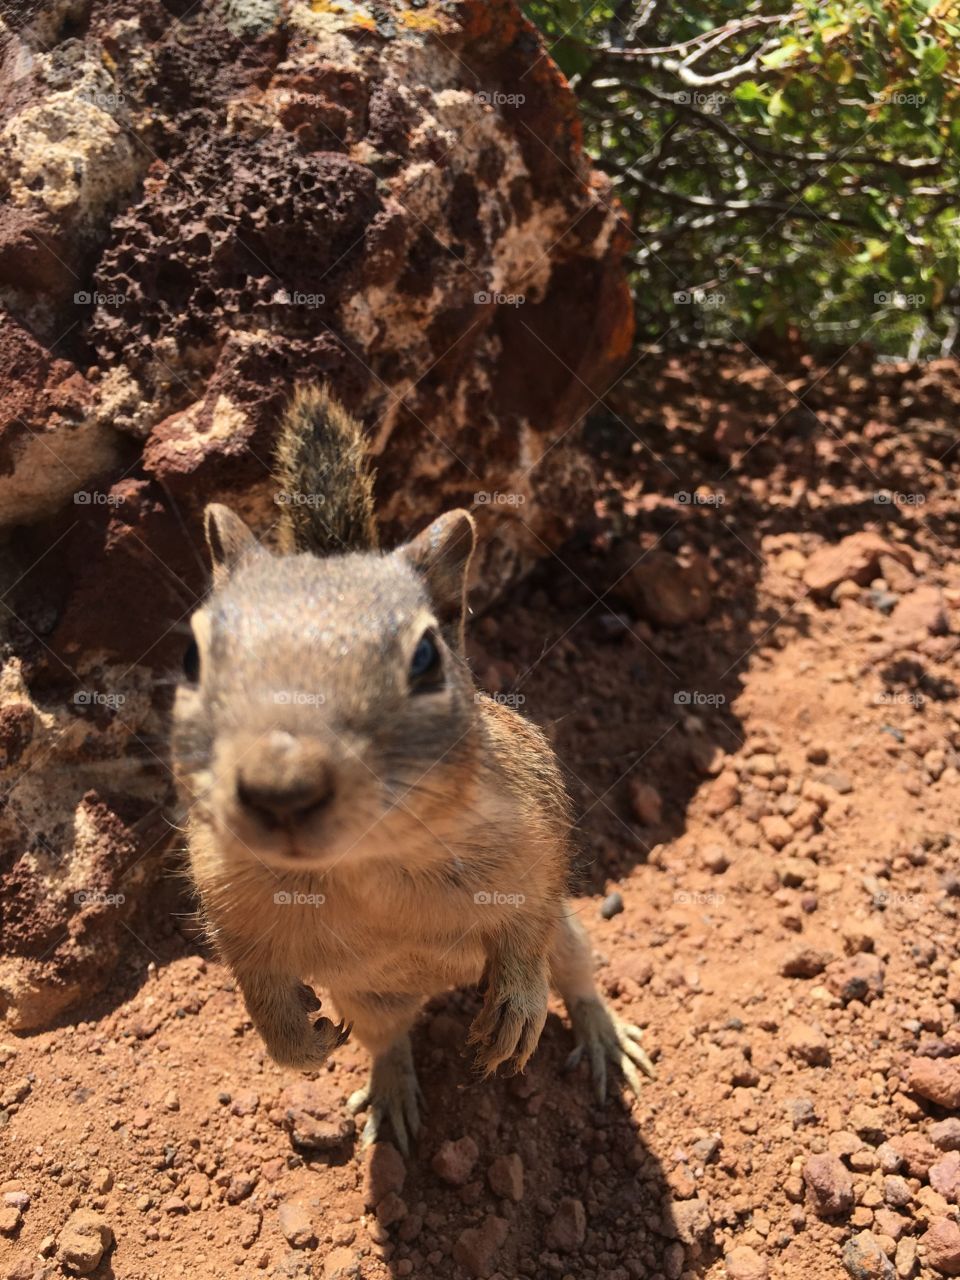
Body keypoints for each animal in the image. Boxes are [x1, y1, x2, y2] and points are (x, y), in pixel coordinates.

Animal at [172, 385, 654, 1154]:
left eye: (426, 656)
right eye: (192, 657)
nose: (282, 787)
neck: (363, 864)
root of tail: (440, 985)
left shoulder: (534, 827)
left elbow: (528, 915)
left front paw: (519, 1002)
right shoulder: (224, 889)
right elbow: (255, 980)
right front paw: (296, 1041)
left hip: (572, 935)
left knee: (575, 972)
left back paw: (602, 1037)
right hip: (367, 998)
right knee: (387, 1037)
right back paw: (388, 1092)